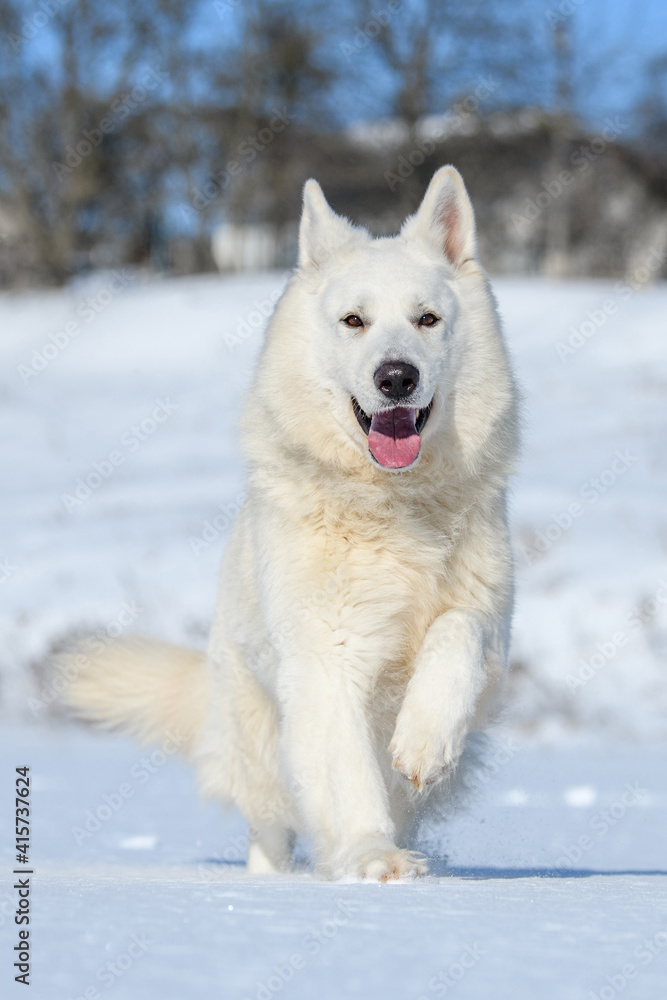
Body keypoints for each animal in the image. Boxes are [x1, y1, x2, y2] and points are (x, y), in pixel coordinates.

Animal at [66, 166, 516, 884]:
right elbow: (348, 776)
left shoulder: (489, 622)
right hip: (259, 754)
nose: (397, 377)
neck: (392, 507)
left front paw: (424, 739)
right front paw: (371, 857)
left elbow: (458, 632)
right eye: (353, 320)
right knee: (270, 832)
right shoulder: (326, 656)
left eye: (428, 319)